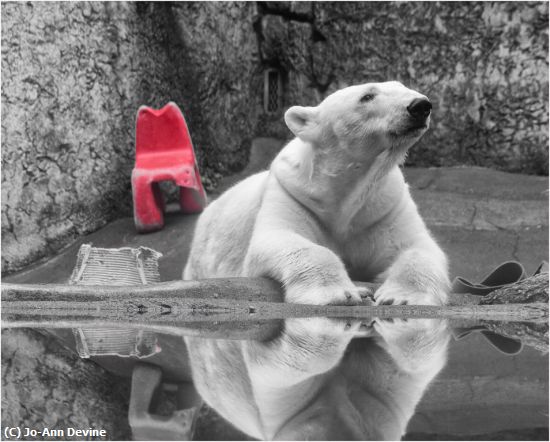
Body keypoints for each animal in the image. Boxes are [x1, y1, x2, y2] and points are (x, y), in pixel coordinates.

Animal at [183, 82, 450, 438]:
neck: (342, 193)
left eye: (404, 87)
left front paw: (400, 297)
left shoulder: (382, 207)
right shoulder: (293, 195)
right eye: (367, 96)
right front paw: (345, 293)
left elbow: (419, 249)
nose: (420, 106)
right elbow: (278, 241)